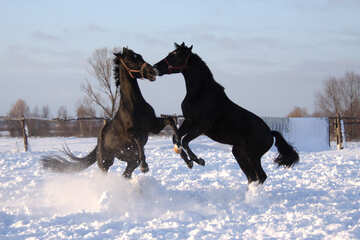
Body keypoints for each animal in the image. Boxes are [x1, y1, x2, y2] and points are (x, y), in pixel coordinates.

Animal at [41, 47, 179, 178]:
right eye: (131, 60)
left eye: (140, 56)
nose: (152, 71)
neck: (135, 105)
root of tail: (98, 142)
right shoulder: (132, 134)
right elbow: (138, 140)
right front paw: (145, 167)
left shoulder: (153, 127)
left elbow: (170, 120)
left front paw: (179, 143)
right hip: (106, 162)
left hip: (130, 161)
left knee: (127, 173)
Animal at [153, 42, 300, 184]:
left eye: (175, 55)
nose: (155, 67)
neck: (200, 93)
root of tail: (270, 133)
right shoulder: (189, 121)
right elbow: (176, 138)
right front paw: (189, 162)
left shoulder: (201, 126)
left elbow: (184, 141)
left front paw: (198, 160)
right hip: (239, 153)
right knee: (252, 177)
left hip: (253, 155)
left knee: (261, 176)